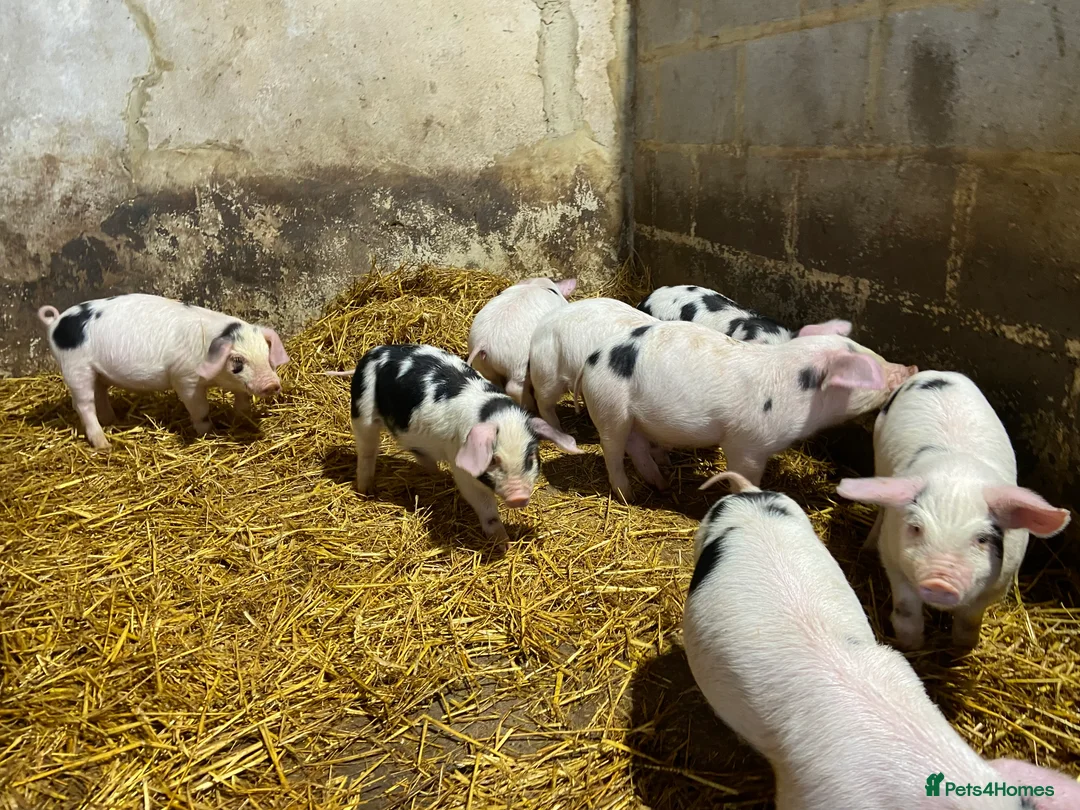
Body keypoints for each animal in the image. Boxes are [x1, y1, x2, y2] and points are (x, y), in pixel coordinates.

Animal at [37, 294, 289, 449]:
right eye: (237, 360)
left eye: (266, 353)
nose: (271, 384)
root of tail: (55, 322)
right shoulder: (185, 378)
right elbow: (200, 409)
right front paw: (208, 432)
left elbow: (242, 399)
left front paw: (242, 419)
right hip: (75, 368)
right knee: (83, 404)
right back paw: (104, 445)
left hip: (96, 372)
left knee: (100, 393)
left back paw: (112, 420)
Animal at [347, 343, 581, 544]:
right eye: (493, 459)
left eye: (530, 457)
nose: (519, 497)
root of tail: (375, 351)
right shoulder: (462, 466)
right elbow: (482, 502)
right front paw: (503, 543)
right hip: (363, 412)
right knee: (367, 450)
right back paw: (367, 491)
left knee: (419, 452)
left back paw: (437, 476)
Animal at [574, 320, 916, 501]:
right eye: (868, 370)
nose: (911, 367)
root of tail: (592, 358)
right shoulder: (747, 443)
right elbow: (743, 474)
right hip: (610, 407)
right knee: (613, 448)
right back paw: (628, 495)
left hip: (633, 416)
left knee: (637, 445)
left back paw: (662, 484)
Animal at [835, 371, 1071, 650]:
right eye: (916, 528)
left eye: (982, 539)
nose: (939, 581)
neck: (957, 472)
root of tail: (938, 373)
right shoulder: (893, 558)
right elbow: (906, 610)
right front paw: (912, 646)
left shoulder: (1000, 582)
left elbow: (970, 620)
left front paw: (962, 648)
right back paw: (867, 548)